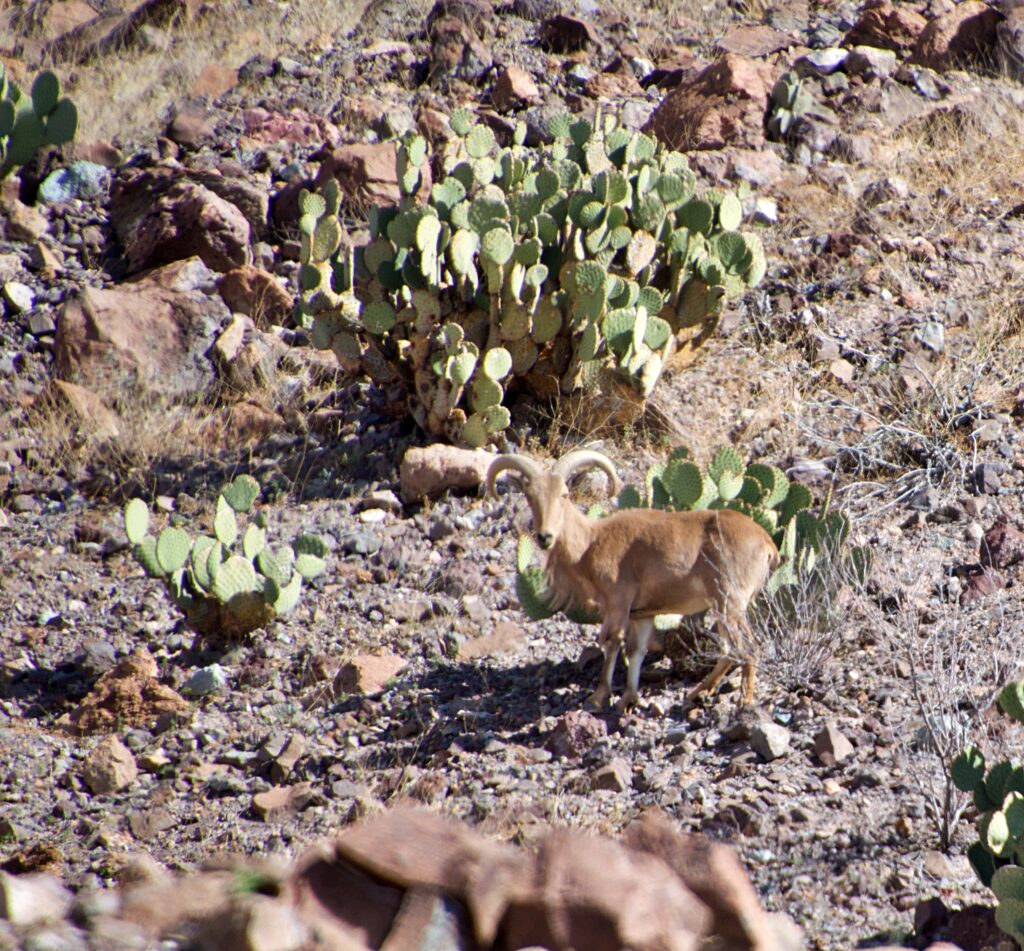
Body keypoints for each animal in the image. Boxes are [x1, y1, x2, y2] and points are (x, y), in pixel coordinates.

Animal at [487, 449, 781, 713]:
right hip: (723, 608)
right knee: (730, 648)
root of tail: (767, 544)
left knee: (747, 648)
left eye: (564, 494)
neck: (591, 542)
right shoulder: (642, 615)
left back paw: (744, 701)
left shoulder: (618, 601)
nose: (544, 537)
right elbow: (636, 653)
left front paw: (598, 697)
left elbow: (612, 642)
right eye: (530, 496)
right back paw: (697, 692)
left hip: (729, 601)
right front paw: (628, 699)